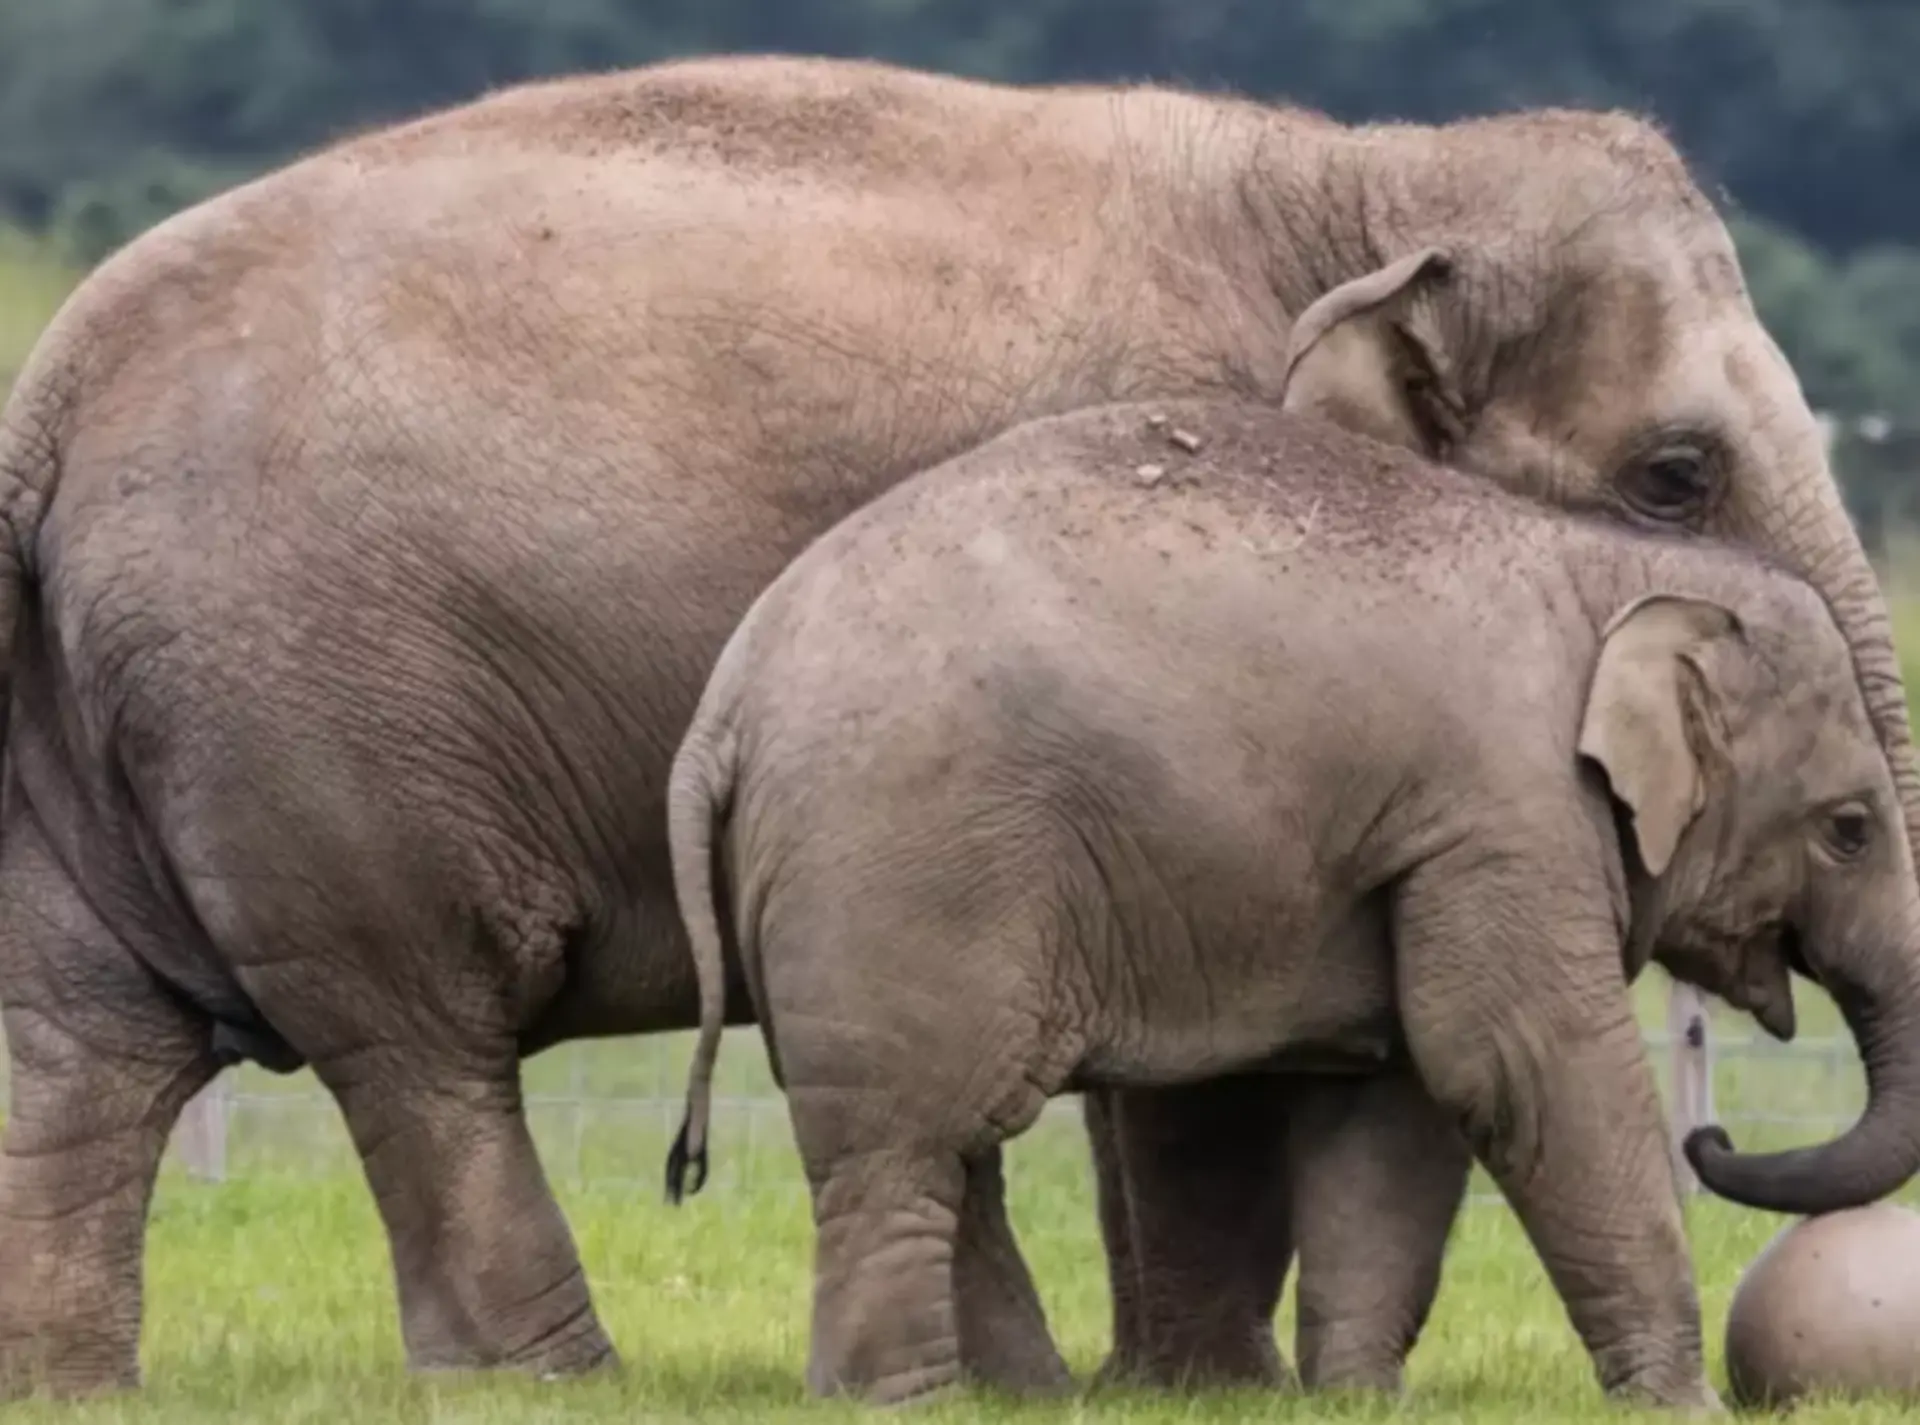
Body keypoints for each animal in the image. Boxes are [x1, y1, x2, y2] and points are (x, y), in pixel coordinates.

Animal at [662, 399, 1920, 1409]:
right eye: (1850, 828)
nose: (1716, 1134)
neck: (1606, 571)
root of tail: (726, 704)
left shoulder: (1428, 839)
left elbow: (1405, 1096)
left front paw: (1362, 1399)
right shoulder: (1505, 810)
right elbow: (1520, 1063)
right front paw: (1682, 1406)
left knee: (951, 1152)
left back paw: (1021, 1397)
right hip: (904, 869)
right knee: (905, 1150)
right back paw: (902, 1402)